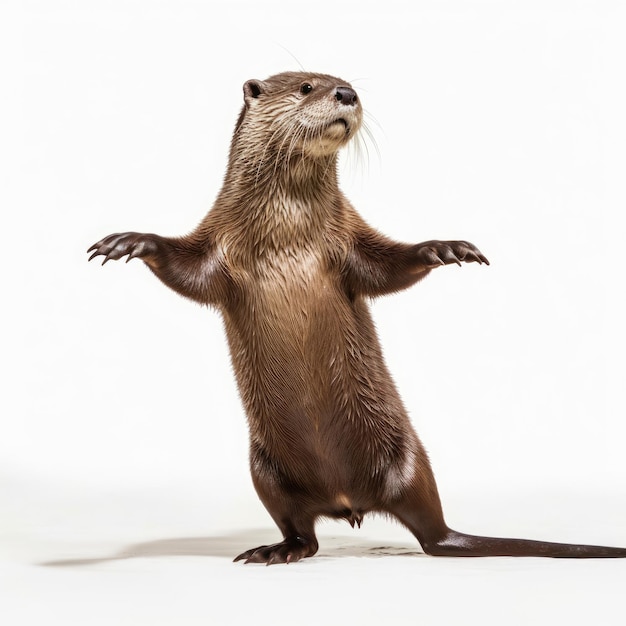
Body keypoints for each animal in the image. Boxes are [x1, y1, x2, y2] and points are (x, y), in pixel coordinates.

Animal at [88, 72, 624, 560]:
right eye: (306, 87)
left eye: (344, 81)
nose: (346, 93)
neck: (287, 231)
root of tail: (347, 501)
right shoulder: (219, 239)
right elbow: (188, 272)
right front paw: (130, 242)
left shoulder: (349, 237)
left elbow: (386, 268)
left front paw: (445, 248)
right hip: (265, 473)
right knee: (303, 532)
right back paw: (277, 549)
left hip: (409, 457)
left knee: (431, 532)